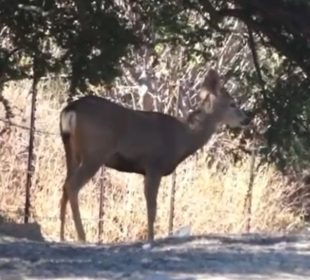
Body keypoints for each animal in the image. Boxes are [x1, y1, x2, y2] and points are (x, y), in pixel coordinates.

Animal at [59, 68, 251, 243]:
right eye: (232, 103)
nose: (246, 119)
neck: (182, 138)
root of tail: (71, 109)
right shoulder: (154, 165)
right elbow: (152, 207)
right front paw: (151, 238)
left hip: (71, 149)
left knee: (65, 185)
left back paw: (61, 236)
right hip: (95, 152)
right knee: (72, 185)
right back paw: (82, 237)